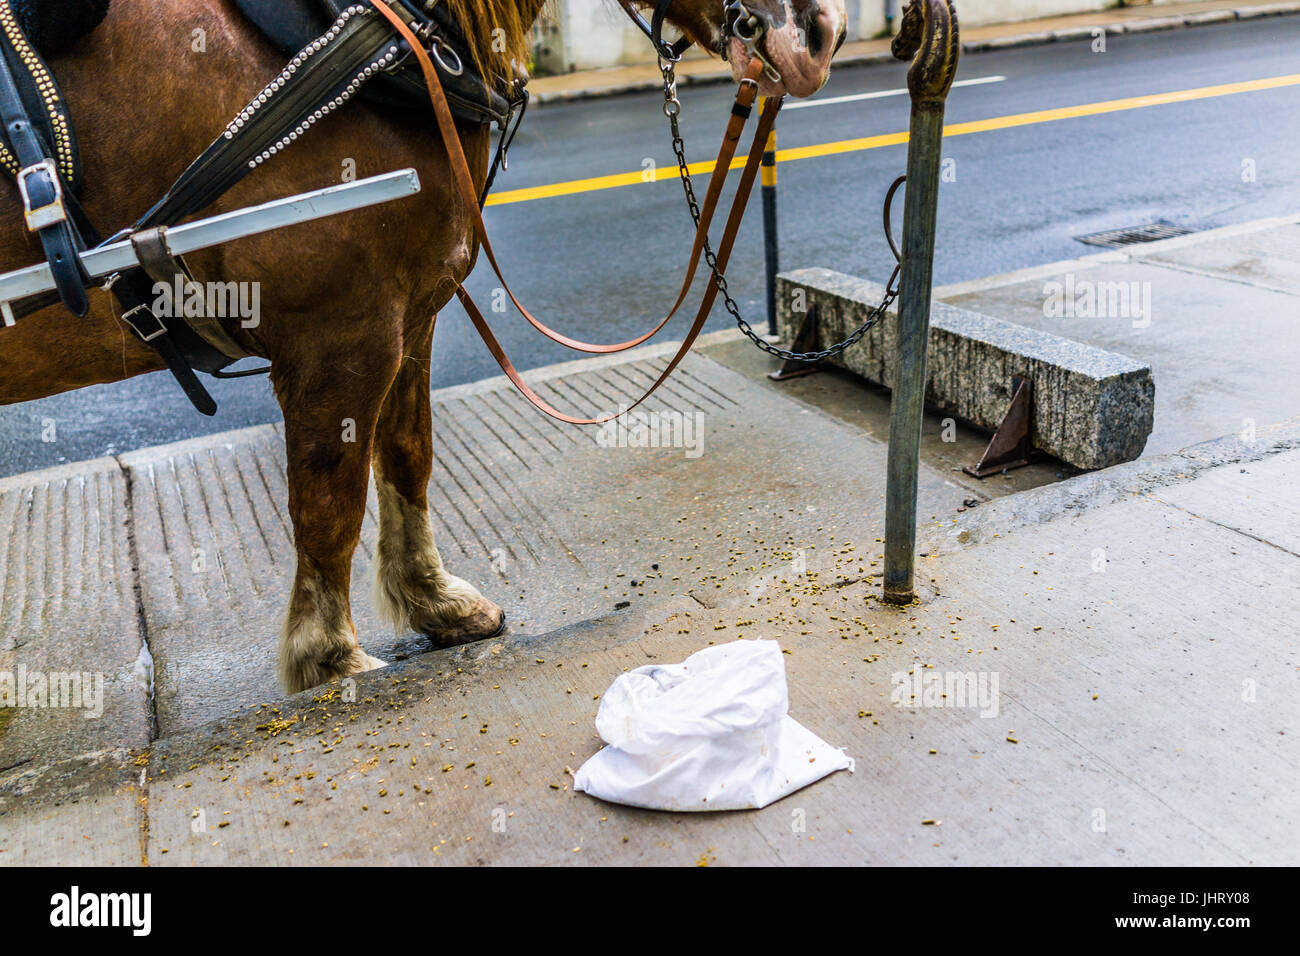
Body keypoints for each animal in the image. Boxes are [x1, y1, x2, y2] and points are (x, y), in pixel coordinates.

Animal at [0, 0, 847, 691]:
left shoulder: (409, 314)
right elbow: (330, 497)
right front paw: (330, 657)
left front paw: (432, 602)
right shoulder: (343, 332)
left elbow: (407, 454)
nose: (820, 31)